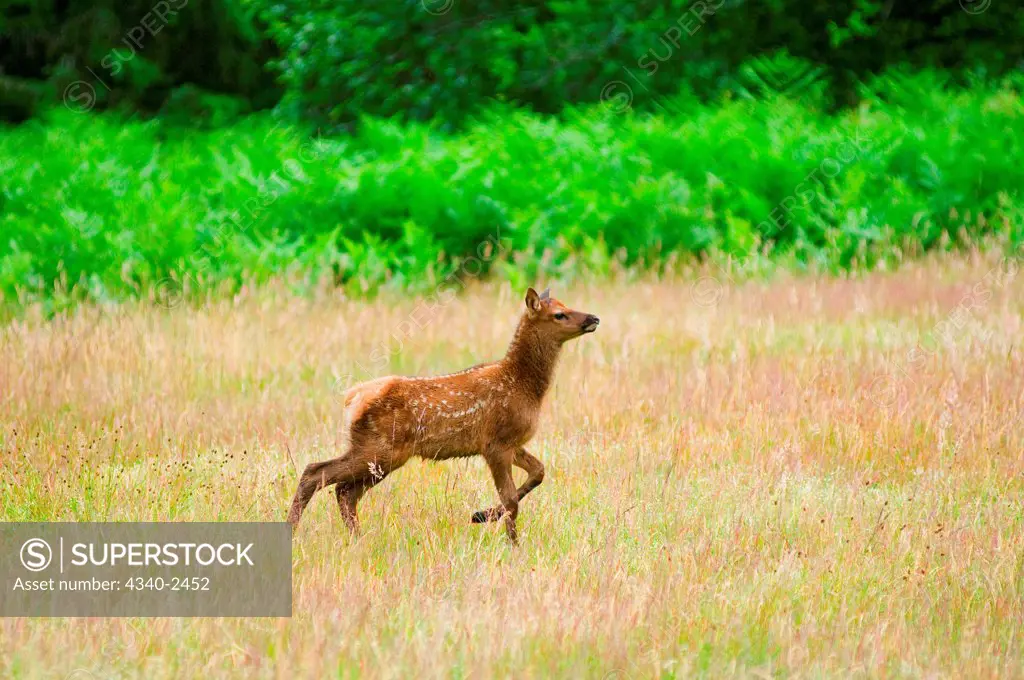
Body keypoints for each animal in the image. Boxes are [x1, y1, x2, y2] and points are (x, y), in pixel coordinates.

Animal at [284, 288, 598, 544]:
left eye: (565, 304)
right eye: (559, 314)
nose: (593, 318)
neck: (523, 385)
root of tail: (353, 397)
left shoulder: (512, 443)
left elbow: (539, 472)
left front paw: (482, 515)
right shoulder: (494, 443)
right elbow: (511, 500)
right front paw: (510, 543)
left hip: (382, 456)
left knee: (345, 491)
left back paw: (356, 538)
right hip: (380, 448)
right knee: (316, 472)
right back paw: (295, 529)